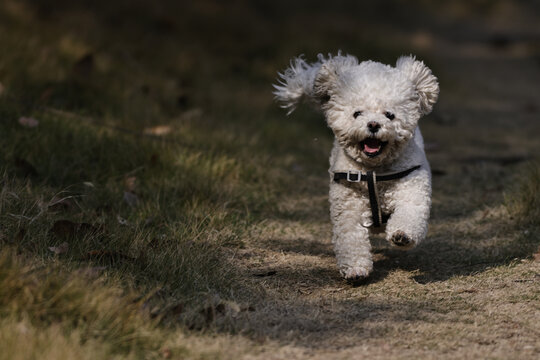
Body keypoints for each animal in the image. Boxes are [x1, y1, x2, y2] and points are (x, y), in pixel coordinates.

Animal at [274, 52, 438, 282]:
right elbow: (350, 237)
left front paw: (402, 235)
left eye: (389, 115)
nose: (373, 125)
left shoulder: (412, 188)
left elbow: (409, 212)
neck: (374, 172)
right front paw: (355, 269)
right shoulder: (347, 205)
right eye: (357, 113)